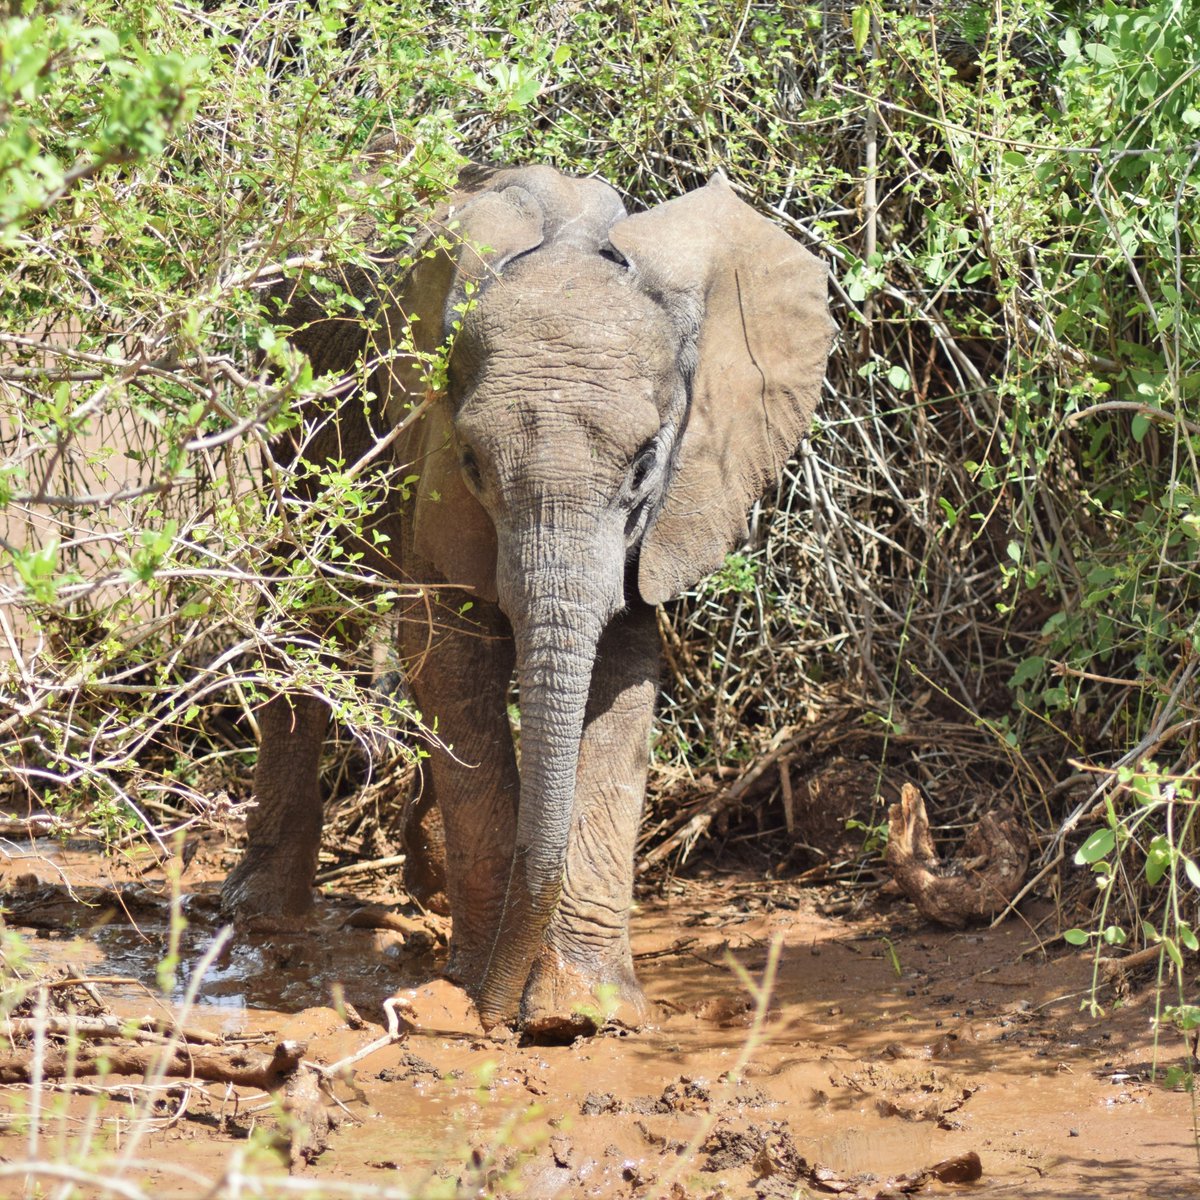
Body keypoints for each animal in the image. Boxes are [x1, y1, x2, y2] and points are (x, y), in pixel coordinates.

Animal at [221, 161, 833, 1037]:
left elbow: (622, 674)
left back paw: (425, 892)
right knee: (307, 597)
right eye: (474, 462)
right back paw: (265, 914)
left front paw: (578, 1013)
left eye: (645, 461)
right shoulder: (426, 452)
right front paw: (480, 989)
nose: (496, 1017)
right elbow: (449, 655)